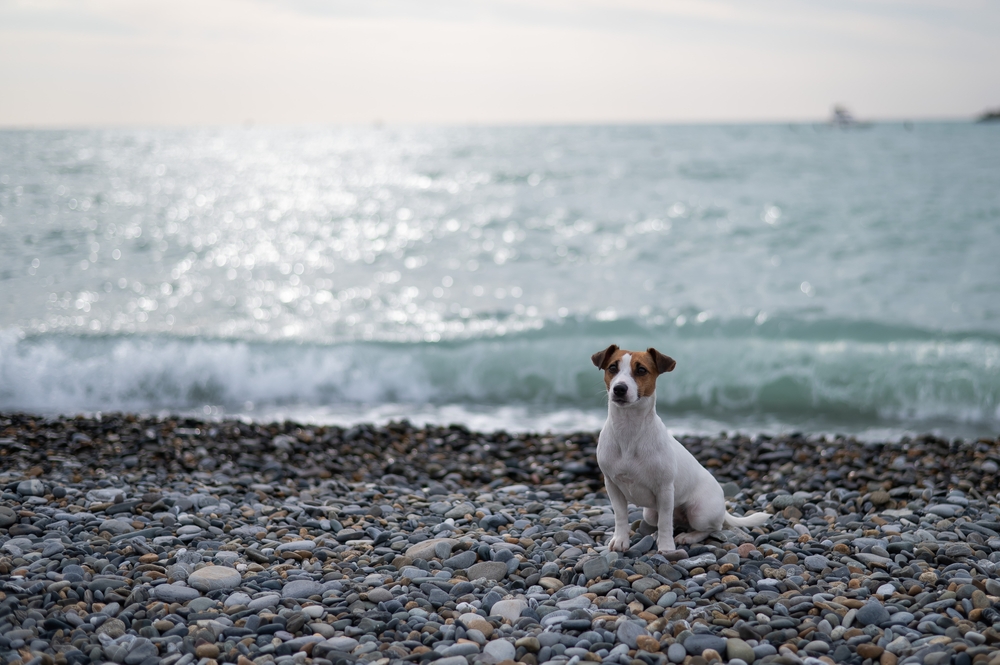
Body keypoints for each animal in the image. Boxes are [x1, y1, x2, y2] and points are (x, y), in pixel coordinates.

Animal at [588, 344, 768, 552]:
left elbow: (666, 522)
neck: (629, 431)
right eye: (612, 368)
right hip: (650, 513)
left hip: (699, 513)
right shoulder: (612, 485)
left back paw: (687, 537)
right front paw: (620, 540)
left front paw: (666, 547)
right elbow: (621, 516)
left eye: (641, 370)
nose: (619, 388)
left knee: (711, 528)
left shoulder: (665, 490)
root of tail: (724, 508)